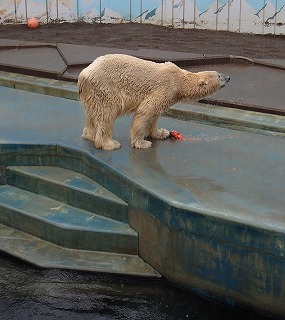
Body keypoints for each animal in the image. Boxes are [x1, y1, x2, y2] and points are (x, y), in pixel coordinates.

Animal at [77, 53, 229, 150]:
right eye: (219, 75)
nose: (228, 77)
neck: (180, 80)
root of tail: (83, 74)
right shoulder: (166, 88)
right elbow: (145, 111)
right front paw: (142, 143)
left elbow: (155, 114)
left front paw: (161, 133)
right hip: (105, 88)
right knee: (106, 114)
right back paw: (110, 144)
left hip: (92, 93)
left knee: (93, 113)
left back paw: (89, 135)